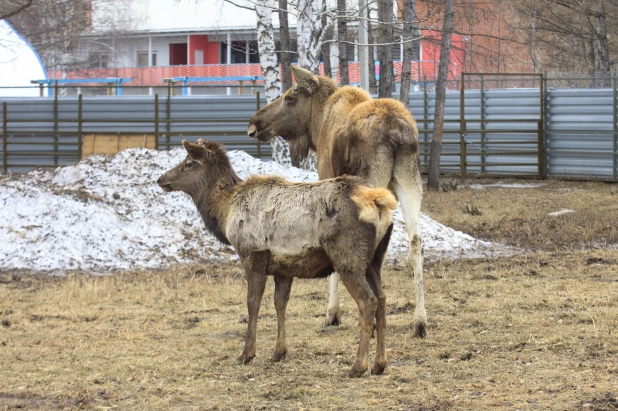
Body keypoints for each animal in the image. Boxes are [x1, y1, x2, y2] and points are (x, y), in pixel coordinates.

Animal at [155, 140, 394, 378]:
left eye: (188, 163)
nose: (160, 179)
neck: (225, 212)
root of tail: (381, 203)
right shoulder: (284, 267)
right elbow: (280, 303)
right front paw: (279, 352)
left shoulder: (253, 256)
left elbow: (253, 303)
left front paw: (246, 354)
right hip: (374, 261)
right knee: (382, 299)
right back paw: (379, 364)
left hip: (348, 259)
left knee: (368, 301)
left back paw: (357, 366)